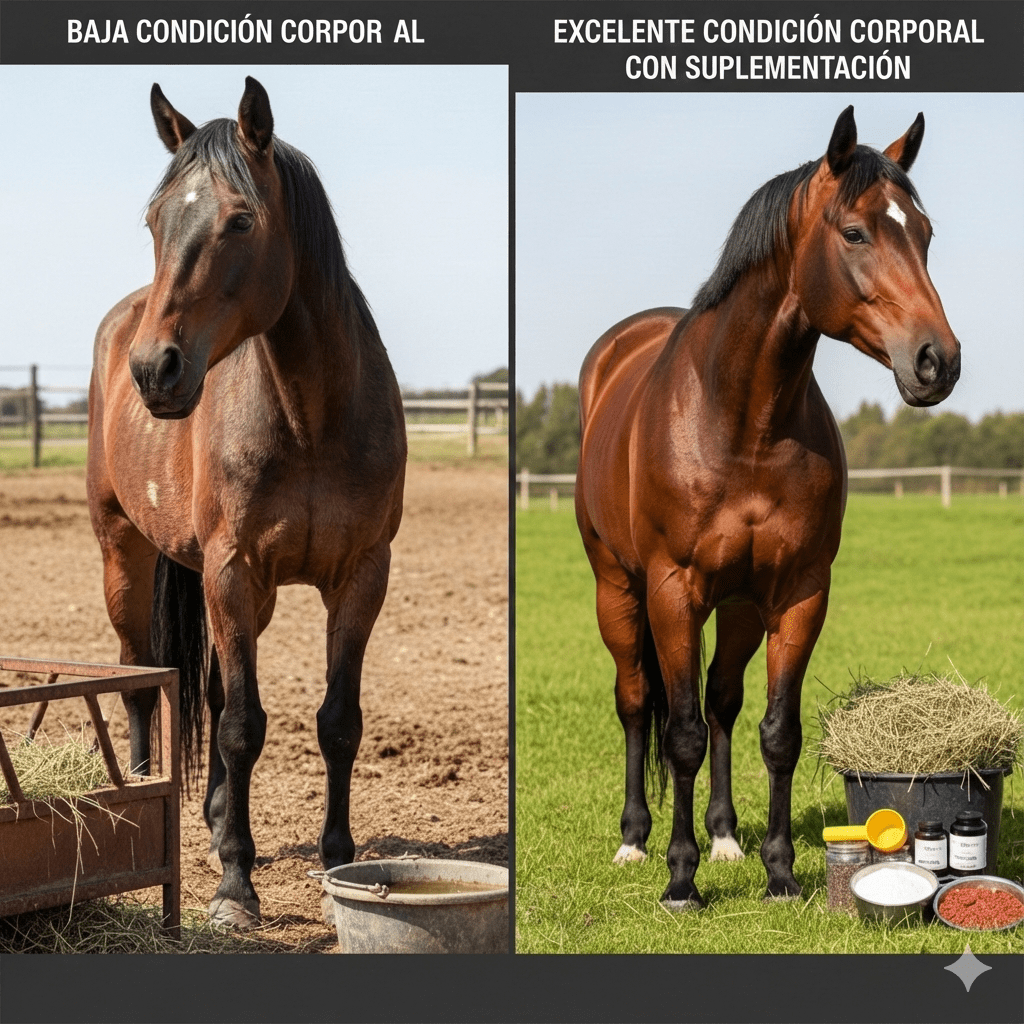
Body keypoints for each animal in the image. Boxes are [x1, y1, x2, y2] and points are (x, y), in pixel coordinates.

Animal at [87, 77, 406, 928]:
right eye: (155, 219)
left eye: (239, 220)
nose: (155, 370)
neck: (309, 414)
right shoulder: (231, 570)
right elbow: (239, 726)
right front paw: (236, 884)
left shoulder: (361, 575)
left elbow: (337, 723)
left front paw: (338, 859)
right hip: (125, 553)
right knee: (140, 676)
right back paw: (147, 796)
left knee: (208, 682)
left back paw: (213, 813)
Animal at [575, 106, 960, 908]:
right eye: (855, 232)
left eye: (926, 232)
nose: (937, 361)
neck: (741, 421)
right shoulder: (673, 590)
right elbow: (678, 734)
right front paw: (679, 881)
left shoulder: (798, 592)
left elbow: (776, 732)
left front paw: (779, 873)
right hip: (617, 588)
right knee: (636, 702)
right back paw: (635, 841)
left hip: (741, 605)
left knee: (722, 700)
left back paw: (725, 838)